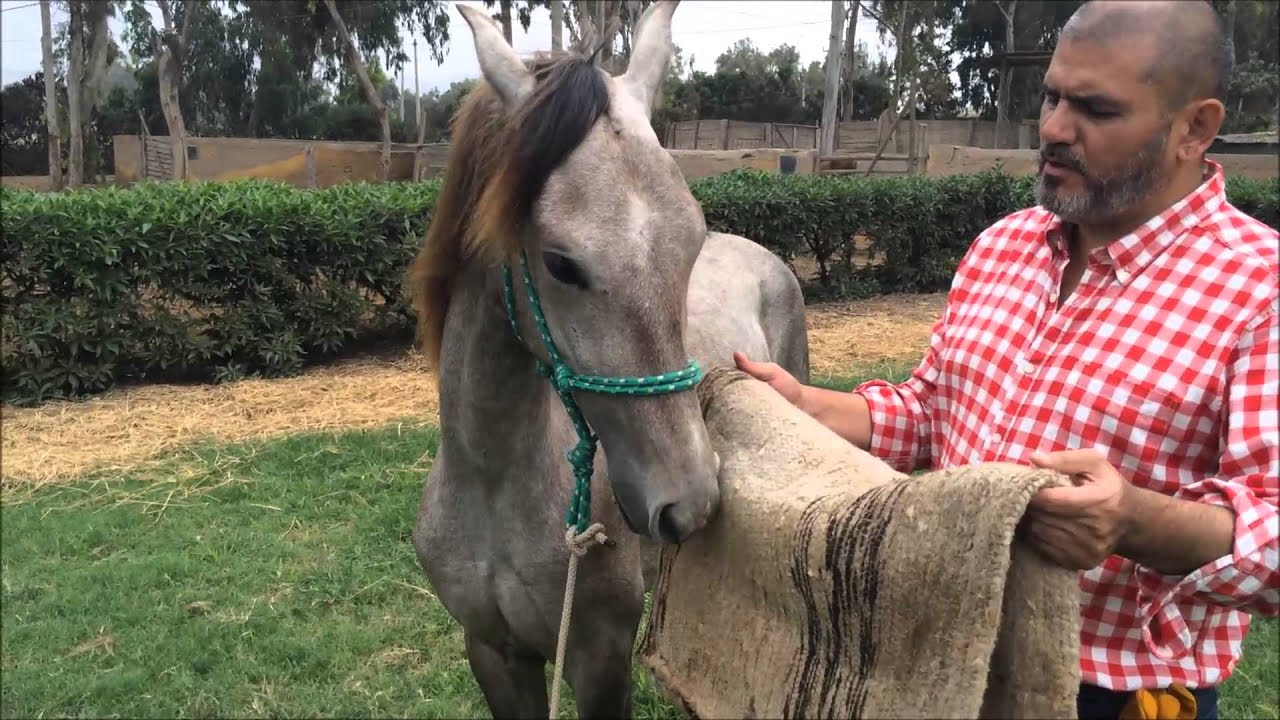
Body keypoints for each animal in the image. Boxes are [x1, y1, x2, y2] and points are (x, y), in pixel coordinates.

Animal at [407, 2, 810, 715]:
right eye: (560, 263)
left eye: (691, 242)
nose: (688, 502)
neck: (492, 486)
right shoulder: (493, 653)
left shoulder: (599, 658)